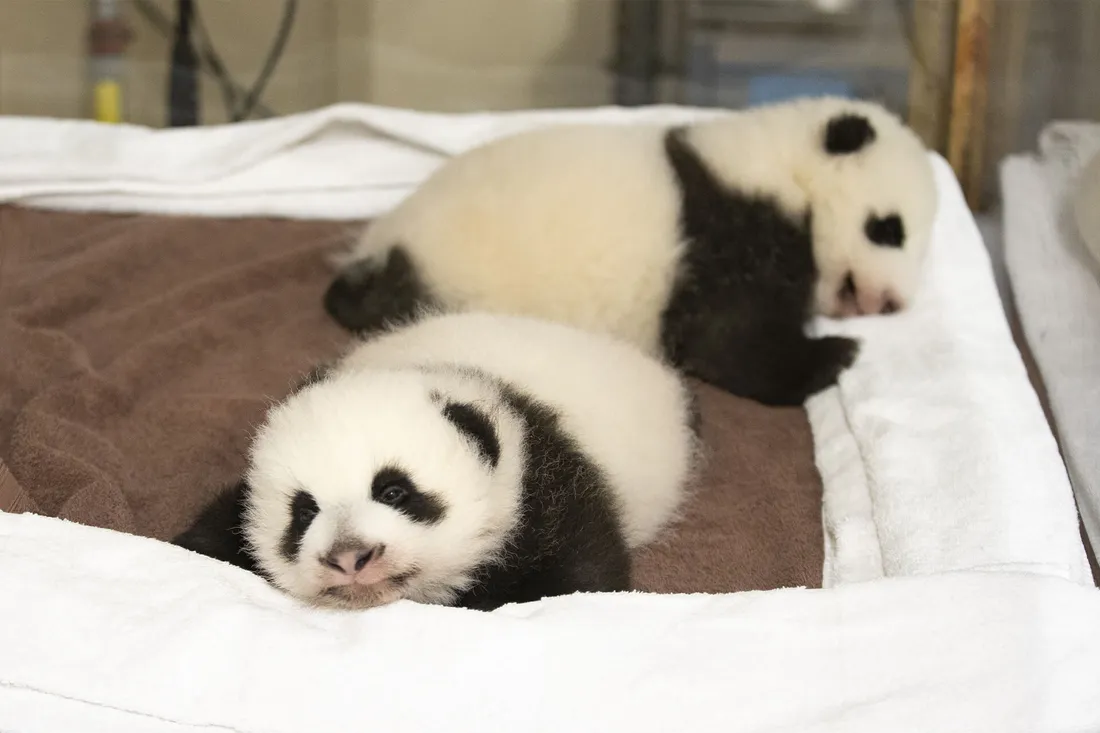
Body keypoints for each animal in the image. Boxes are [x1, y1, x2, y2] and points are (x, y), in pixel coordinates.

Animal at [323, 95, 939, 407]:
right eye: (889, 229)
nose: (893, 303)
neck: (787, 168)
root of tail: (382, 246)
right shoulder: (730, 226)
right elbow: (727, 341)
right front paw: (836, 355)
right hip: (457, 275)